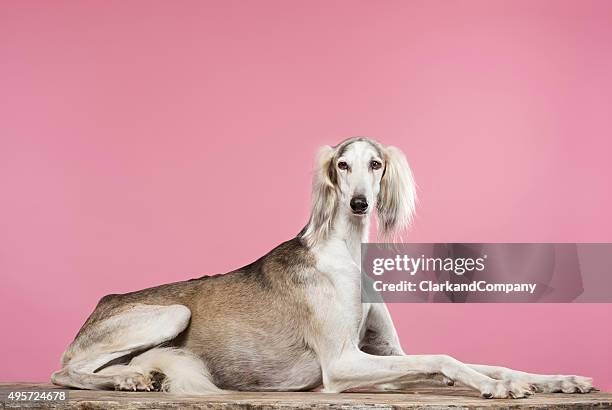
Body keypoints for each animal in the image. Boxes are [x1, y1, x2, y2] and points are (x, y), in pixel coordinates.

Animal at [50, 137, 596, 398]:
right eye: (341, 165)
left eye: (375, 164)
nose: (358, 203)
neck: (346, 254)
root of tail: (100, 303)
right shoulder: (341, 364)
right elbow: (445, 359)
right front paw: (494, 387)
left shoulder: (386, 355)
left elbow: (475, 361)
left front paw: (555, 379)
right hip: (170, 312)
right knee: (65, 373)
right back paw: (125, 381)